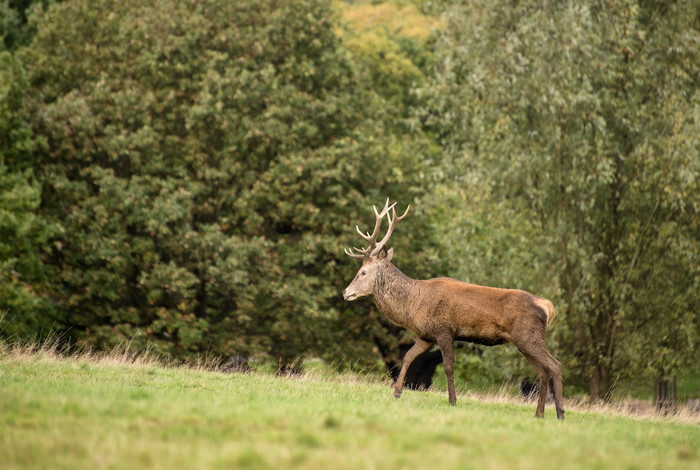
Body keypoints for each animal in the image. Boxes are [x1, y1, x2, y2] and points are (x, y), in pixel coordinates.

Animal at [342, 198, 568, 418]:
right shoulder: (427, 335)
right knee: (543, 371)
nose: (345, 292)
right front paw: (397, 392)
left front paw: (452, 401)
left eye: (362, 272)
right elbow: (407, 357)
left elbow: (449, 367)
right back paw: (539, 413)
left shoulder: (445, 330)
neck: (414, 305)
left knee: (555, 365)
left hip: (529, 336)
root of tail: (548, 306)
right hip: (524, 341)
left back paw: (559, 412)